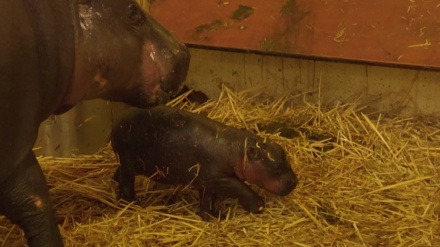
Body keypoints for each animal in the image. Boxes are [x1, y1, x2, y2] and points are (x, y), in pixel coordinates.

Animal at [111, 105, 298, 221]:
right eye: (277, 167)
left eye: (283, 153)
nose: (294, 181)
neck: (238, 151)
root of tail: (118, 121)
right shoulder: (219, 178)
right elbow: (240, 187)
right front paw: (258, 205)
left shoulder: (207, 182)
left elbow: (207, 200)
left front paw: (213, 216)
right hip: (129, 162)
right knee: (127, 180)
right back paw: (131, 202)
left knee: (120, 172)